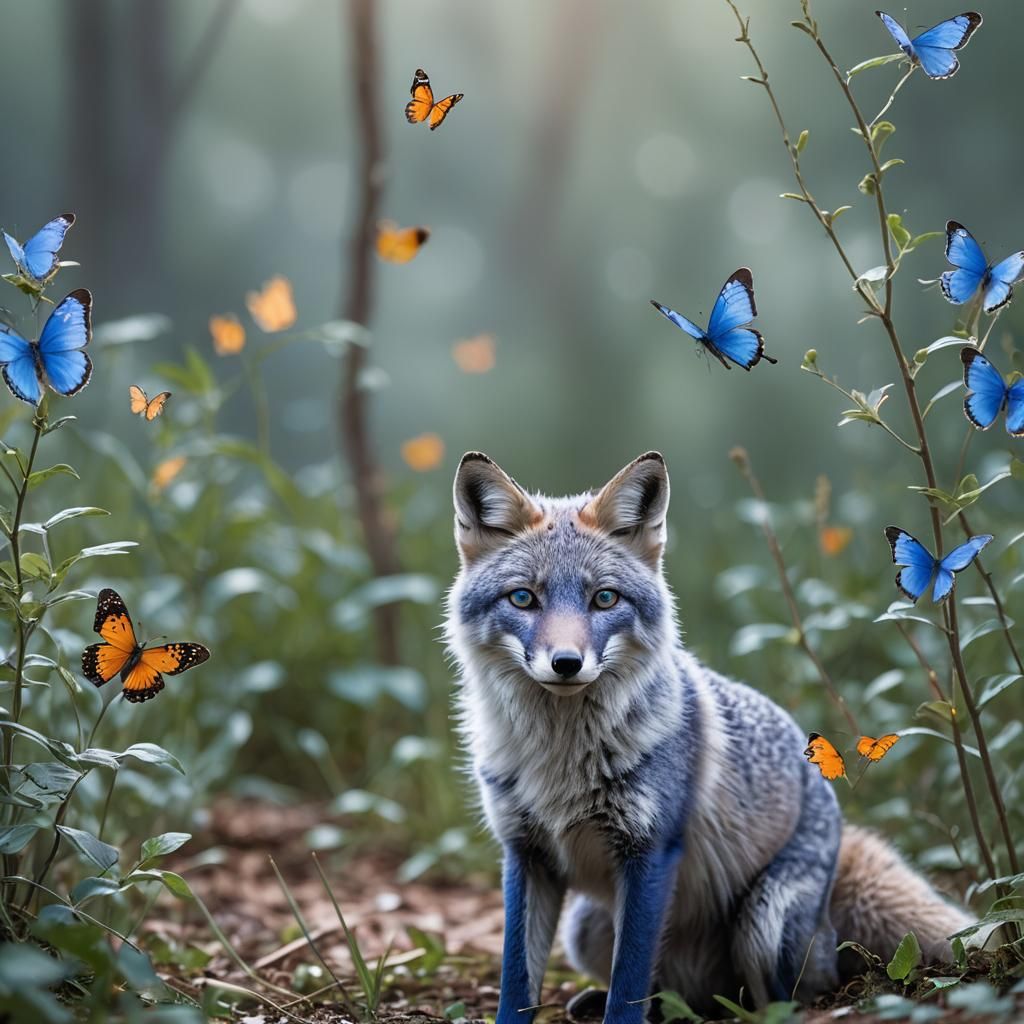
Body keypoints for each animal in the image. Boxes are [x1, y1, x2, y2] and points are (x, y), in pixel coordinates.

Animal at [445, 450, 973, 1023]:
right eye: (523, 599)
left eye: (604, 599)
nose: (566, 663)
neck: (560, 763)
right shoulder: (525, 853)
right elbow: (518, 983)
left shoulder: (651, 852)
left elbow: (628, 985)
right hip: (585, 928)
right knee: (673, 997)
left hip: (761, 928)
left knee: (784, 995)